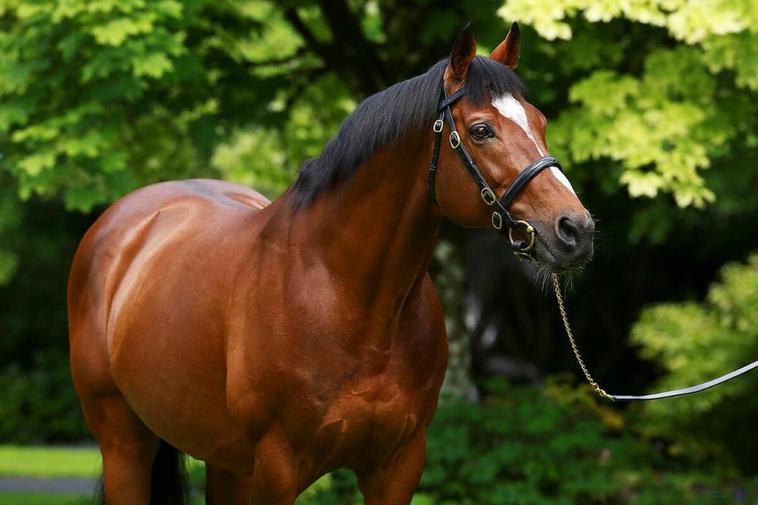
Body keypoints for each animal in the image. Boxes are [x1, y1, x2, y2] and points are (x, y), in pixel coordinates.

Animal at [68, 24, 596, 504]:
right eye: (482, 130)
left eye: (541, 122)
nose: (576, 229)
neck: (348, 299)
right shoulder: (277, 470)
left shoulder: (397, 467)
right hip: (124, 443)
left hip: (224, 462)